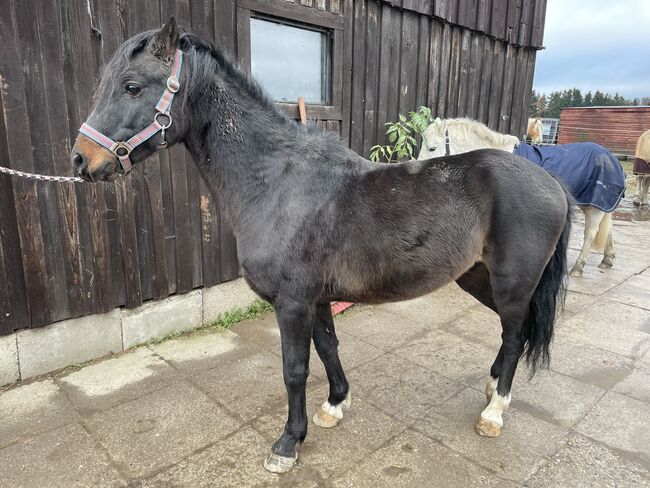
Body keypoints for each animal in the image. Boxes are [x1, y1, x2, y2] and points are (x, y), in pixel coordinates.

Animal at [68, 21, 568, 474]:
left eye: (133, 86)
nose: (81, 160)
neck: (276, 181)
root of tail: (552, 183)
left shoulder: (292, 303)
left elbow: (294, 369)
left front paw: (288, 443)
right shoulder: (318, 299)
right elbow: (328, 348)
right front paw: (334, 407)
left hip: (511, 284)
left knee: (515, 335)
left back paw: (494, 412)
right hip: (478, 278)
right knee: (511, 335)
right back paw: (490, 390)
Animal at [418, 117, 620, 278]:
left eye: (432, 148)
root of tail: (611, 157)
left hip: (594, 206)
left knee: (590, 232)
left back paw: (578, 267)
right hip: (595, 204)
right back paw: (607, 259)